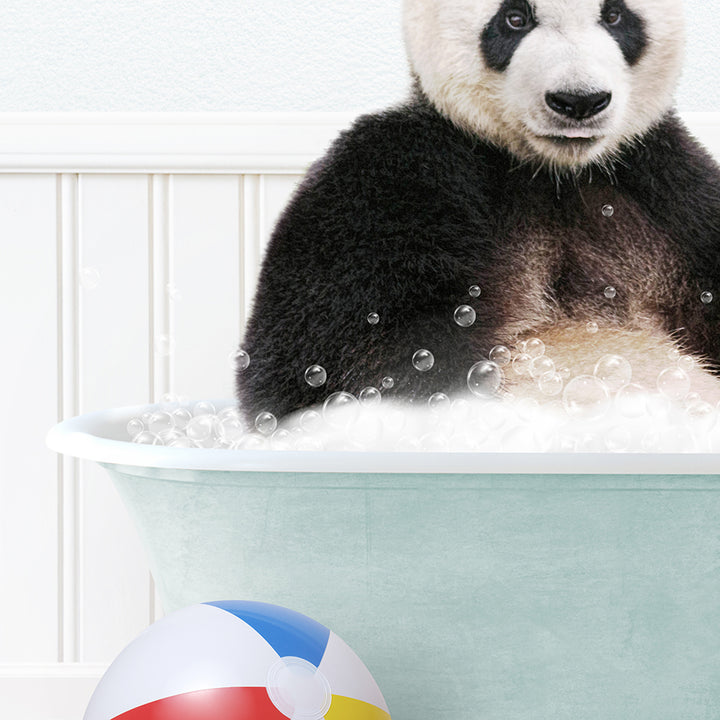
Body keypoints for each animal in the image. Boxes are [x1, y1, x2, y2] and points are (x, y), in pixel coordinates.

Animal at [236, 0, 720, 428]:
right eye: (515, 18)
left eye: (615, 15)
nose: (578, 101)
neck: (551, 172)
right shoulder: (396, 178)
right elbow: (321, 362)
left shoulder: (666, 184)